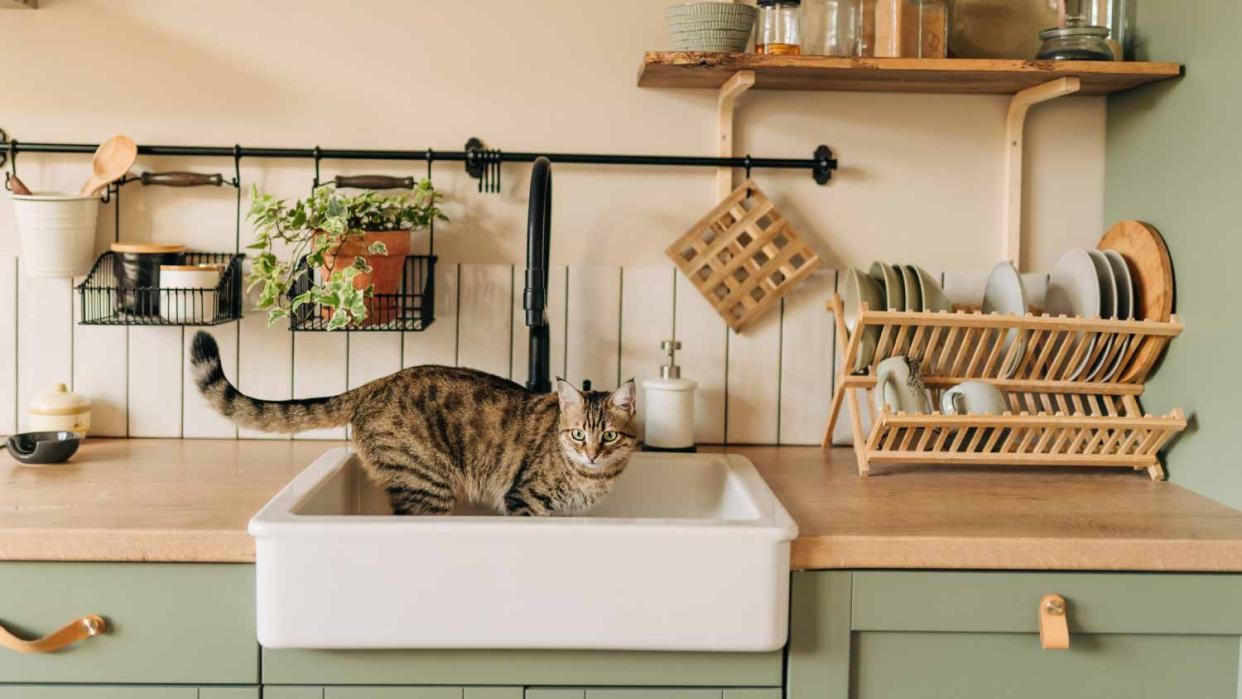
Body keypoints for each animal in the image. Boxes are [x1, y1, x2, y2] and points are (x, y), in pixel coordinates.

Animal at [188, 330, 635, 516]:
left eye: (609, 436)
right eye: (578, 434)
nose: (592, 453)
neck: (591, 478)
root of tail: (376, 384)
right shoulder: (524, 501)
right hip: (425, 484)